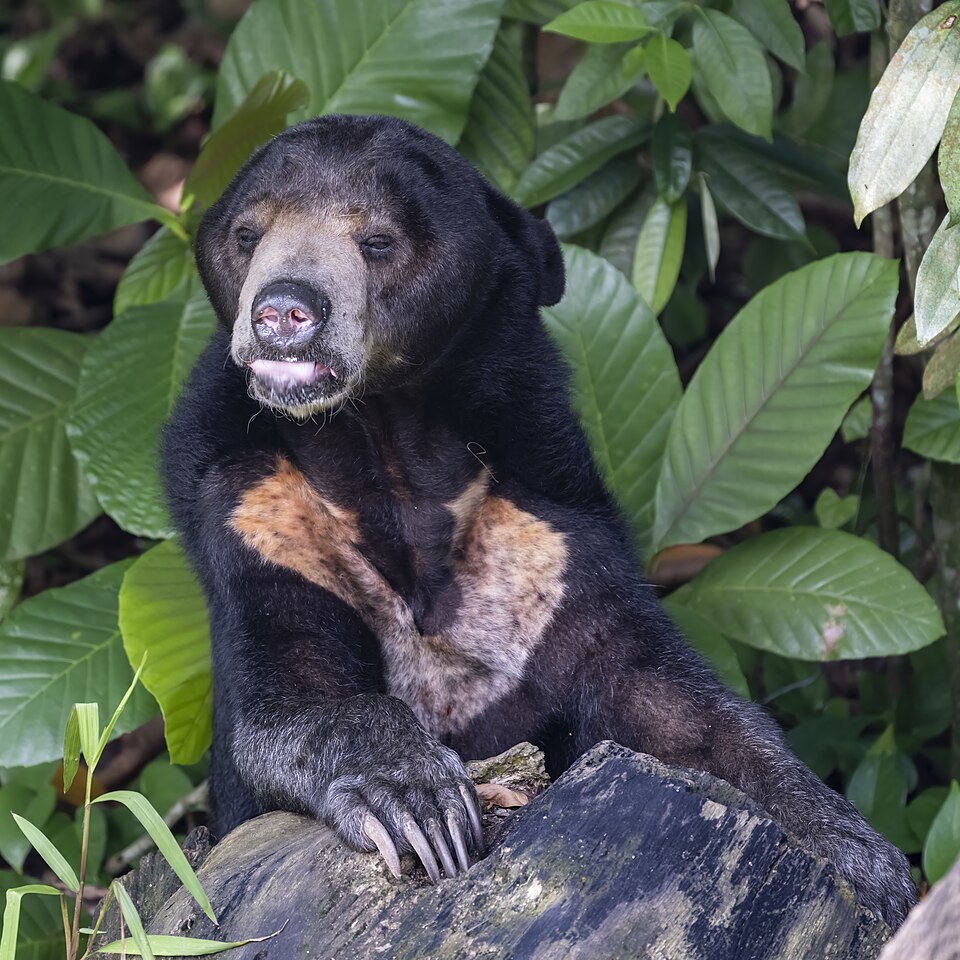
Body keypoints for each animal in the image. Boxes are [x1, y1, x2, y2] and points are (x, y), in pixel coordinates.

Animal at [163, 114, 916, 927]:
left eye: (378, 241)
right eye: (247, 234)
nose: (283, 311)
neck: (384, 449)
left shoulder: (544, 539)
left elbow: (671, 705)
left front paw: (870, 865)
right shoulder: (260, 515)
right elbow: (283, 705)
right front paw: (417, 803)